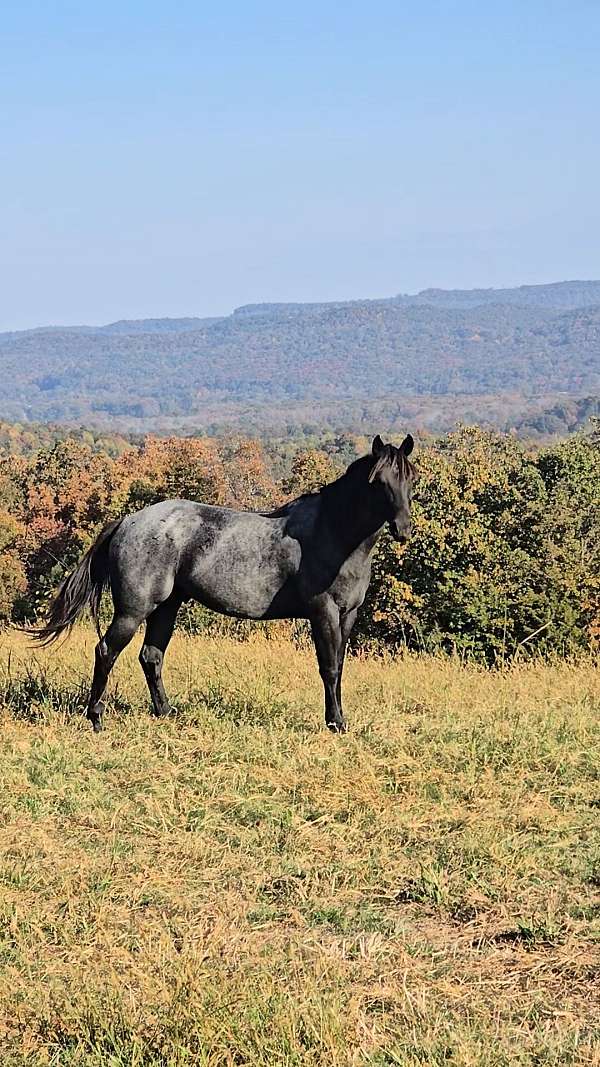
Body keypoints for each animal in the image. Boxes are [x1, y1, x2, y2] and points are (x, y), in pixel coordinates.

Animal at [30, 433, 414, 734]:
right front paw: (336, 723)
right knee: (107, 651)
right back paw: (95, 717)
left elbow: (340, 666)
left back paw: (166, 712)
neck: (332, 533)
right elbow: (329, 667)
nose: (404, 530)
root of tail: (128, 521)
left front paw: (338, 719)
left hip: (167, 607)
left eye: (409, 479)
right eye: (379, 482)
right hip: (133, 610)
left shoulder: (348, 615)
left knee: (151, 656)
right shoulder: (323, 613)